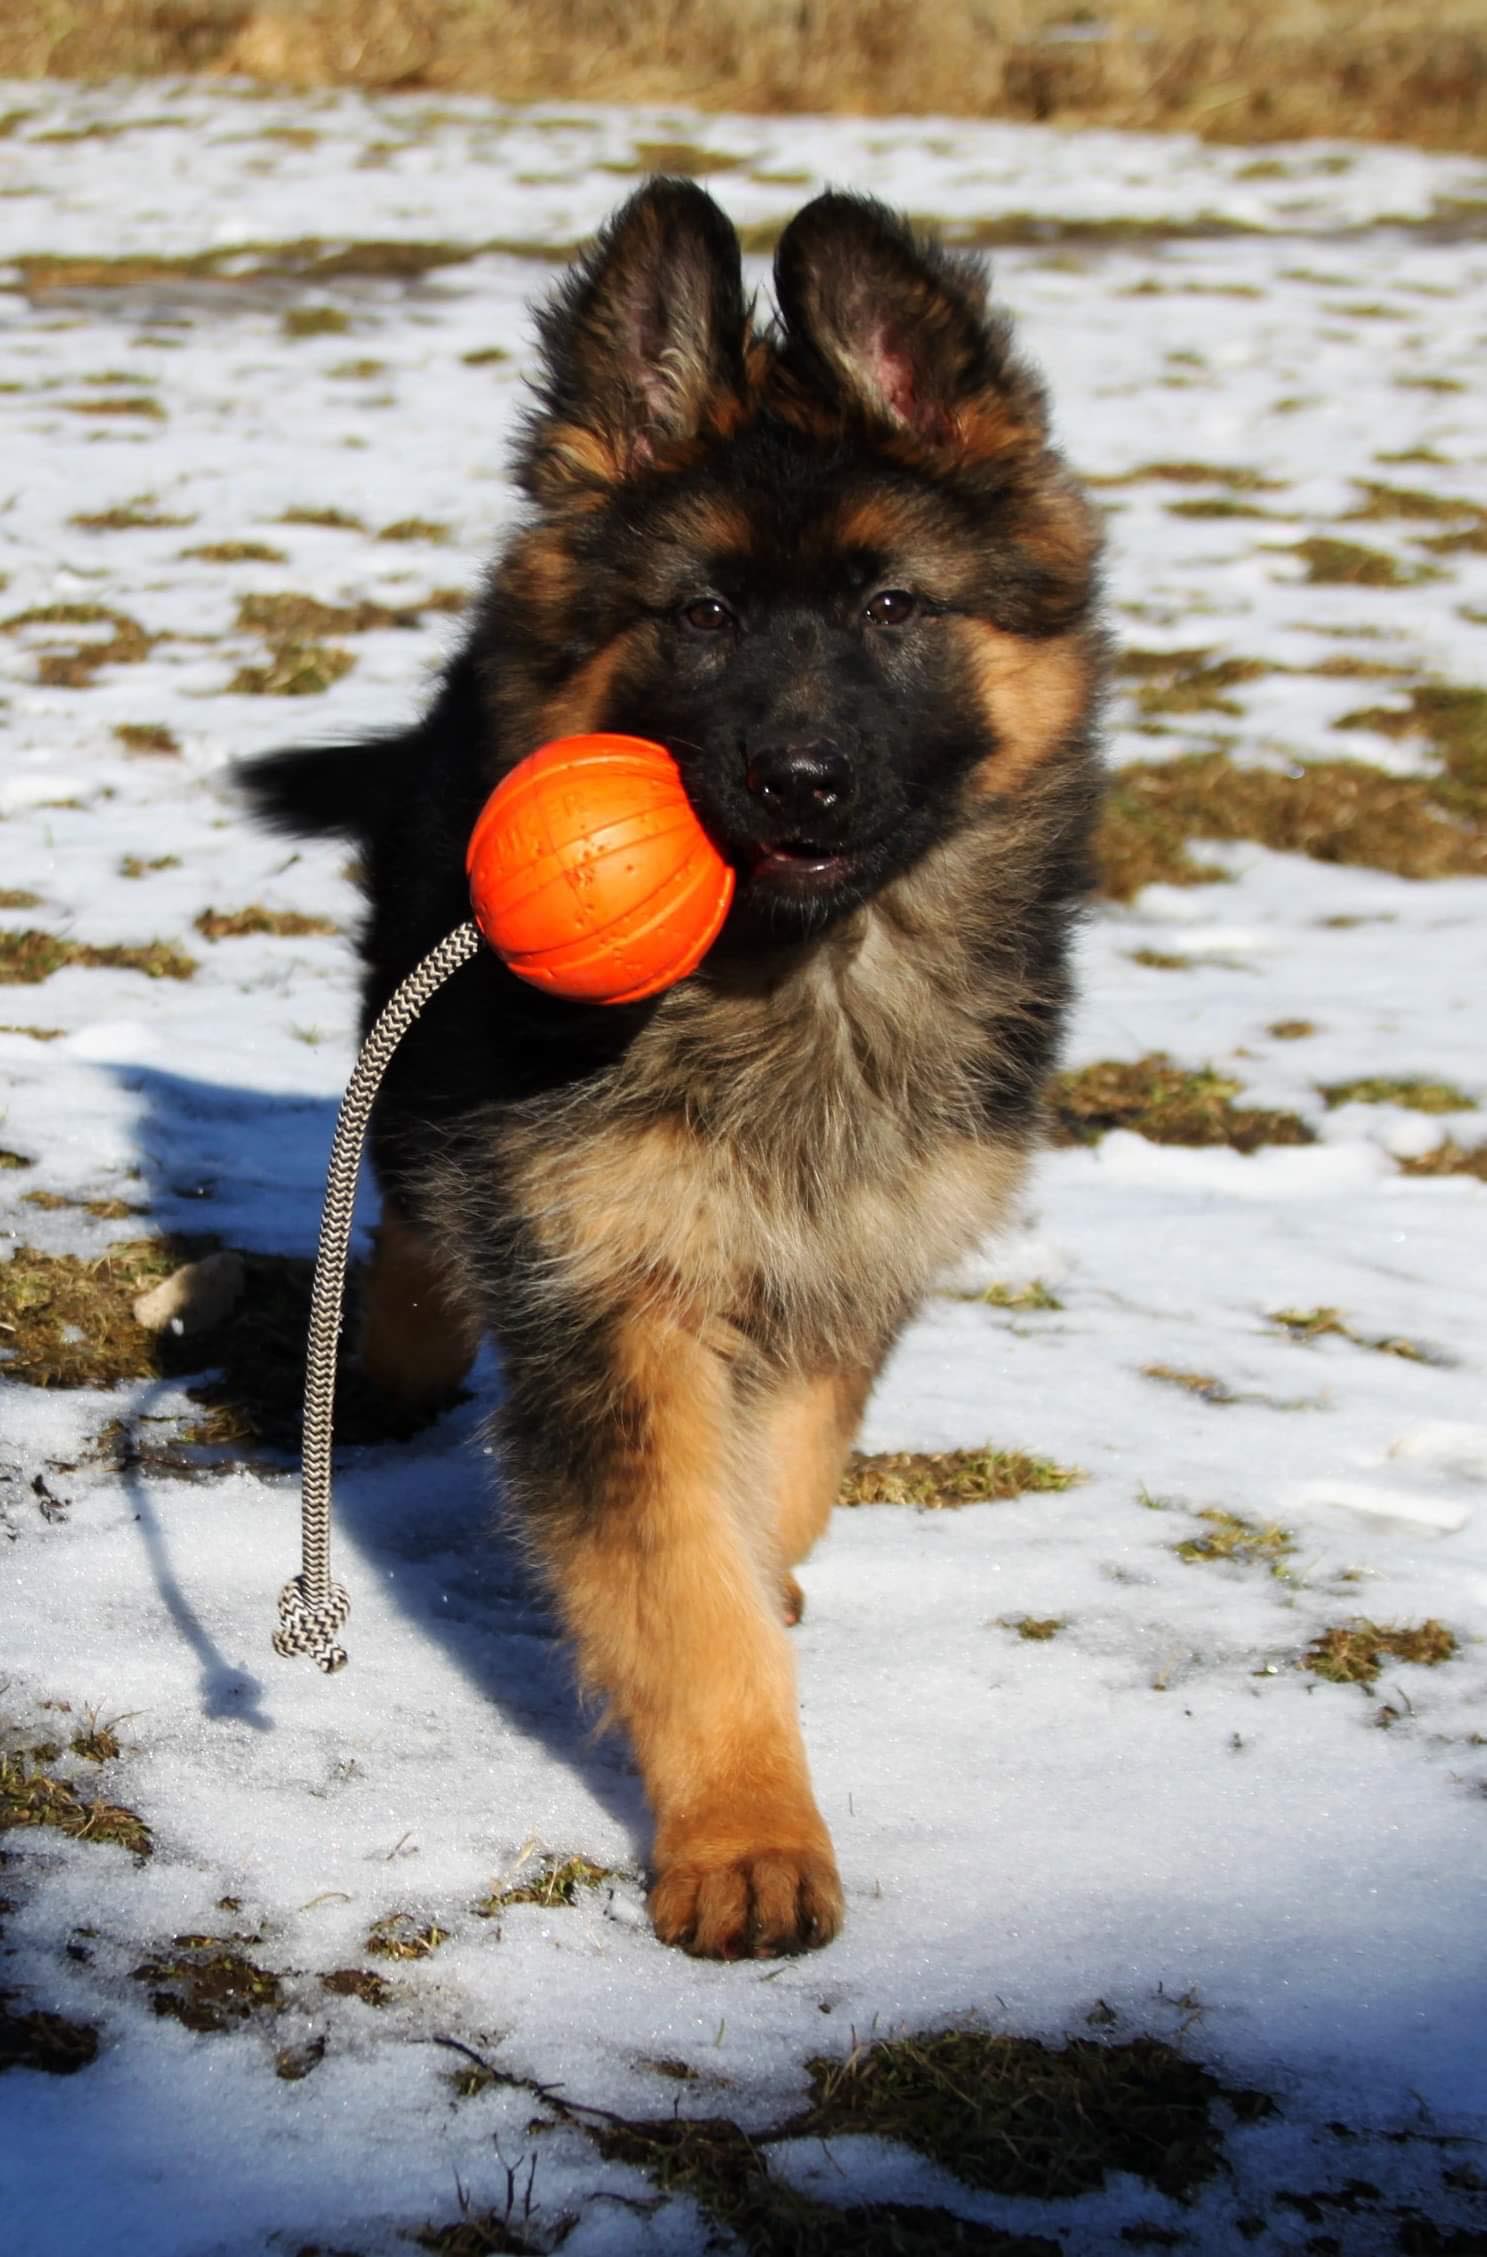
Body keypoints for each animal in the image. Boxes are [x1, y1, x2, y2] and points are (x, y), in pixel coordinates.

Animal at [247, 185, 1105, 1959]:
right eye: (701, 617)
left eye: (893, 608)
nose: (798, 778)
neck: (792, 984)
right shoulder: (607, 1290)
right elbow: (682, 1586)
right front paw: (748, 1836)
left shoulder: (849, 1262)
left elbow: (773, 1488)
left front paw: (762, 1588)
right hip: (438, 1021)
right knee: (410, 1176)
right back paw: (397, 1352)